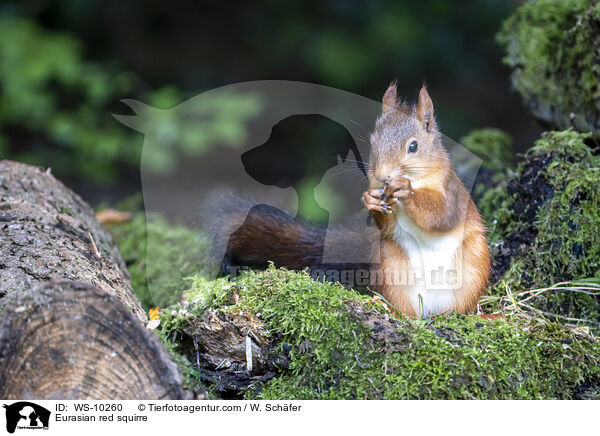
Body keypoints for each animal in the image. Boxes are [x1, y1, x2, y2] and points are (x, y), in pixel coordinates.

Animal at [216, 83, 488, 318]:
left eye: (413, 146)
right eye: (373, 142)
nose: (383, 176)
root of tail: (430, 311)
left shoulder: (452, 193)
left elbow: (441, 216)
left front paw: (404, 189)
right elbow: (385, 225)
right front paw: (370, 200)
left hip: (473, 270)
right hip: (392, 269)